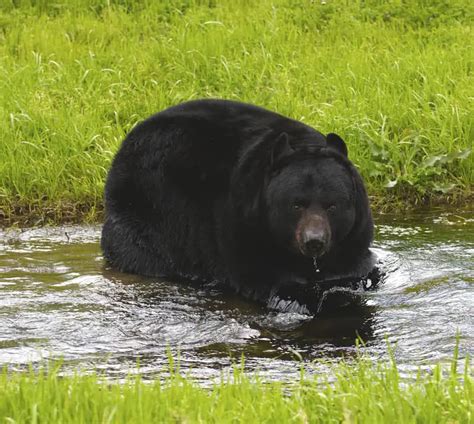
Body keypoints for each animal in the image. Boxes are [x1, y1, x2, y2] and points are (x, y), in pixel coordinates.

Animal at [102, 98, 376, 312]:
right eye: (296, 205)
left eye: (332, 205)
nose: (314, 241)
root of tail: (123, 147)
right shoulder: (243, 223)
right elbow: (260, 274)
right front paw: (296, 297)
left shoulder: (353, 235)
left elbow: (354, 270)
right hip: (148, 209)